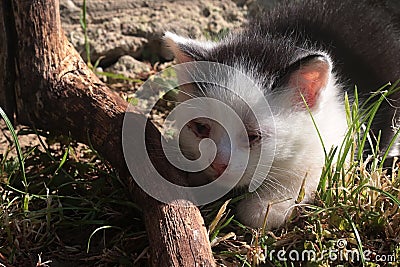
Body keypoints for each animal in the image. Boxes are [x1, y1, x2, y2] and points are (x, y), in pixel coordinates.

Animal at [163, 0, 400, 230]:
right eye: (201, 128)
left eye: (254, 136)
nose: (218, 164)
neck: (286, 38)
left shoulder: (339, 136)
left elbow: (316, 170)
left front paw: (267, 206)